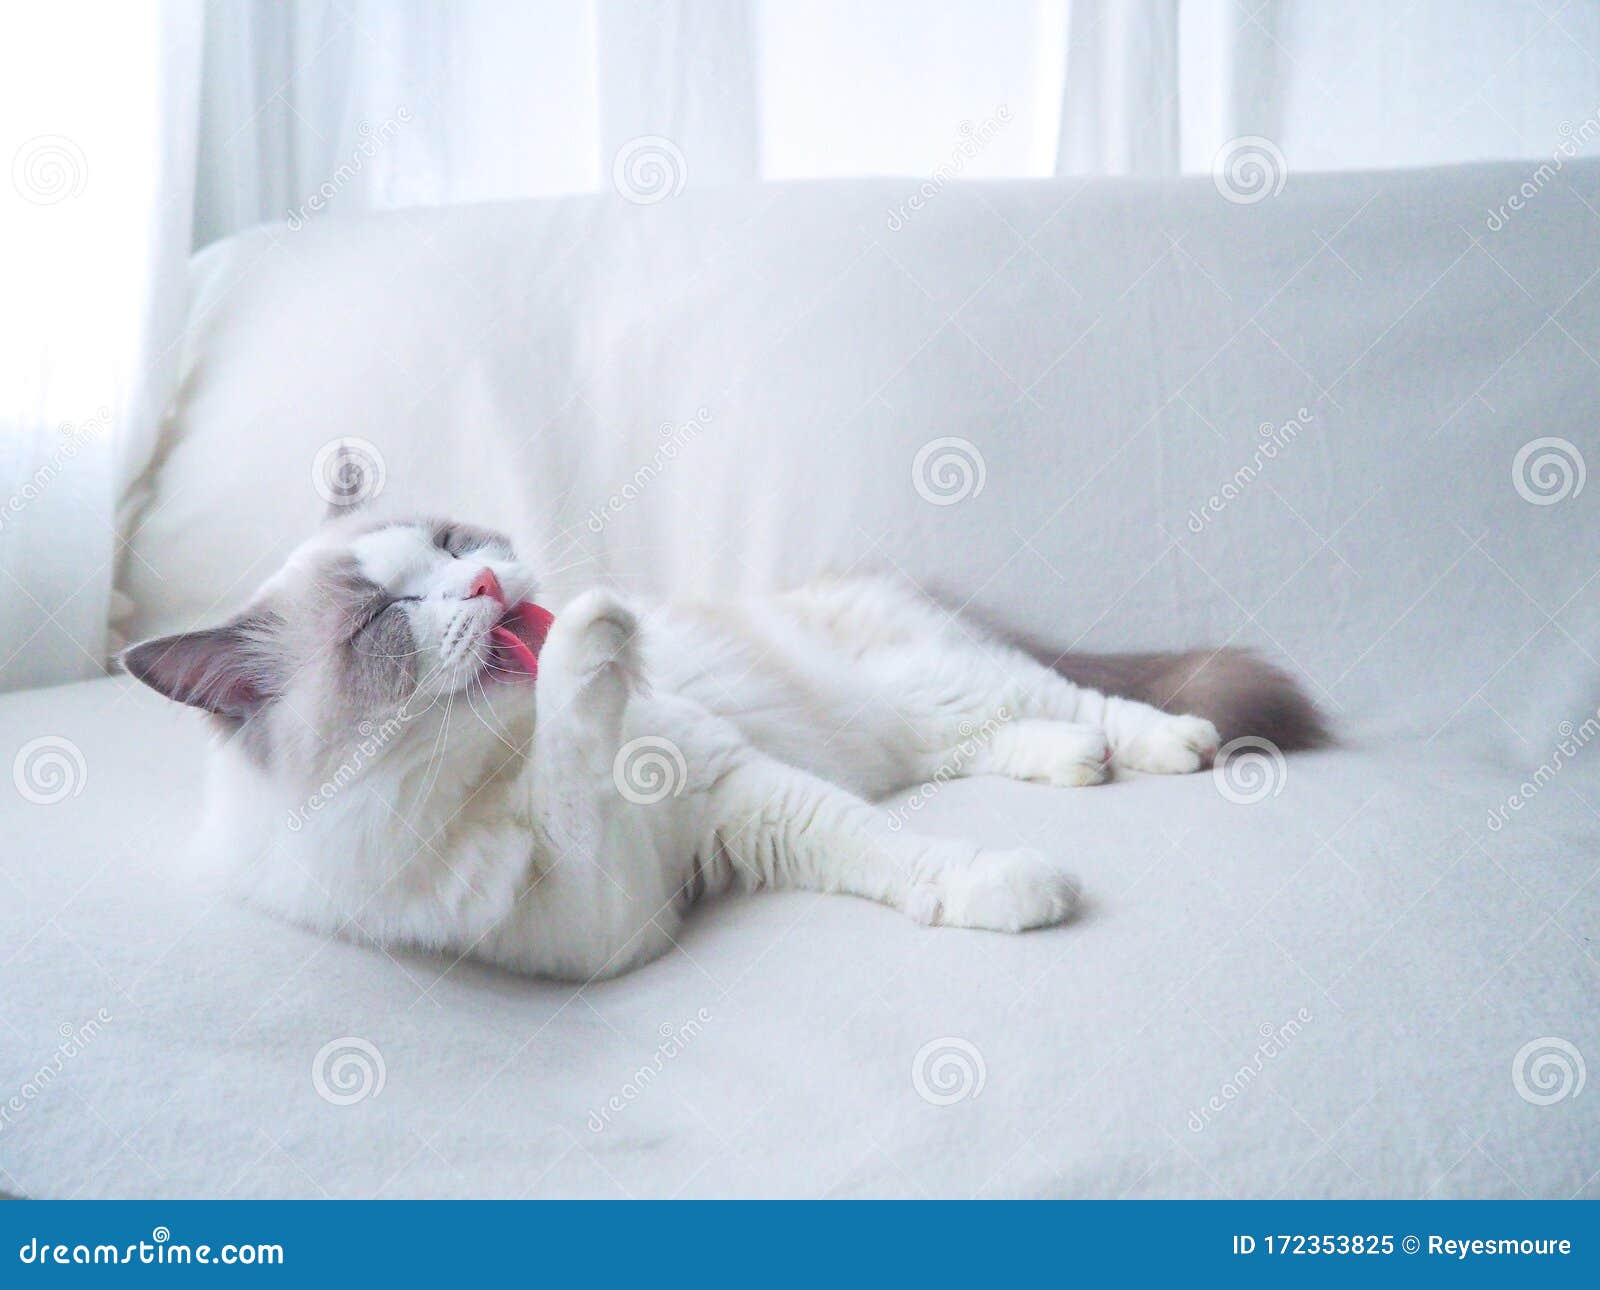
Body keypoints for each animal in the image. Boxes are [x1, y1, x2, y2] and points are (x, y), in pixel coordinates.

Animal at [121, 512, 1324, 979]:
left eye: (456, 544)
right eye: (384, 618)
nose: (487, 584)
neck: (491, 771)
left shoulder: (728, 789)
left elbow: (896, 853)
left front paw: (592, 633)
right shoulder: (599, 916)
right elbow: (577, 781)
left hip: (935, 680)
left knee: (1084, 698)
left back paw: (1172, 744)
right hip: (914, 722)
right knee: (999, 739)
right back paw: (1076, 761)